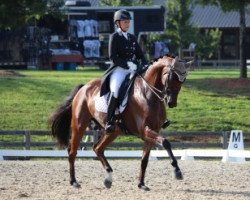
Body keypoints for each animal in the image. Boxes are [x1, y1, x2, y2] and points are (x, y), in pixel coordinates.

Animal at [49, 54, 192, 191]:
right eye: (172, 77)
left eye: (183, 80)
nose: (172, 103)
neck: (148, 94)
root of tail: (83, 88)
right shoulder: (144, 130)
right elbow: (166, 143)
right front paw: (177, 171)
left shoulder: (152, 132)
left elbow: (144, 160)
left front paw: (141, 184)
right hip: (79, 125)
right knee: (72, 151)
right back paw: (74, 182)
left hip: (113, 131)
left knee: (97, 148)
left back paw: (108, 178)